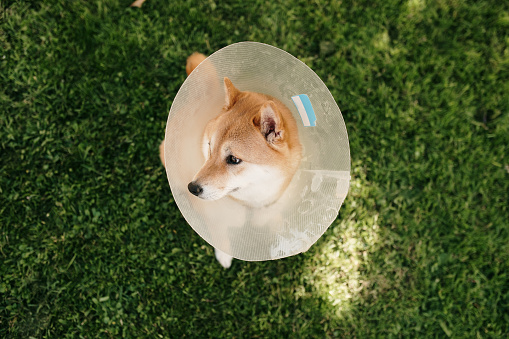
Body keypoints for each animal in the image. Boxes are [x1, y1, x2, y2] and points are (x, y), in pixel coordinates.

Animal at [160, 53, 302, 270]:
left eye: (234, 159)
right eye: (209, 146)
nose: (192, 188)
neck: (253, 201)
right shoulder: (216, 216)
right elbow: (219, 235)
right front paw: (224, 255)